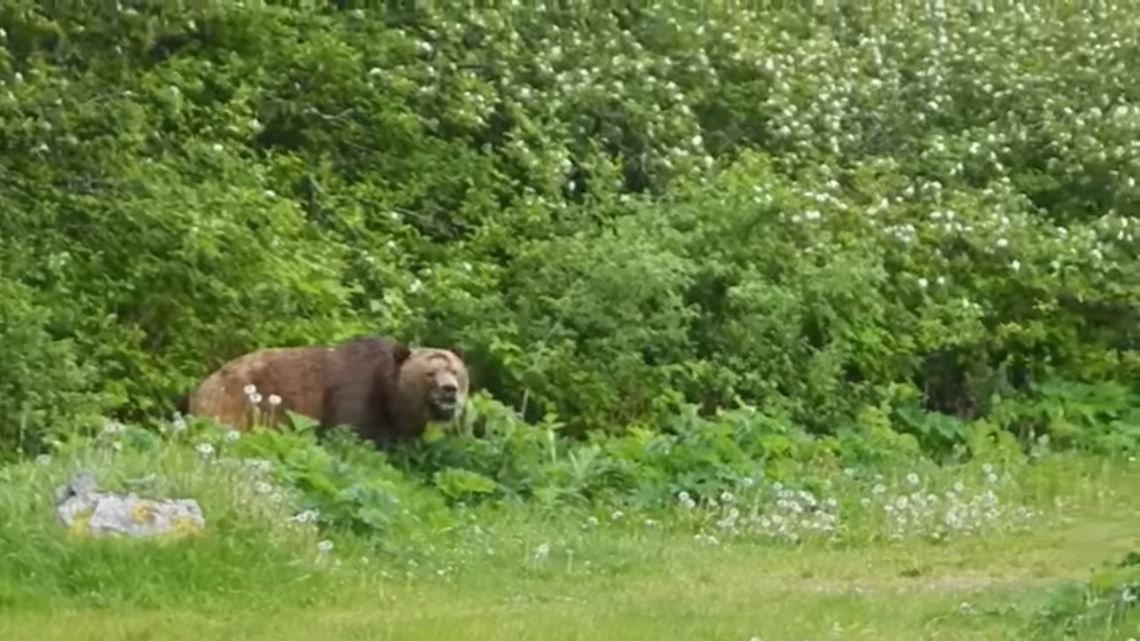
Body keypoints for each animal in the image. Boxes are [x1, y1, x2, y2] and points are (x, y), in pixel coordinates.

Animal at [179, 336, 470, 447]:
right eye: (430, 373)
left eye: (455, 371)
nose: (449, 390)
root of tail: (200, 387)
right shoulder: (354, 396)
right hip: (235, 402)